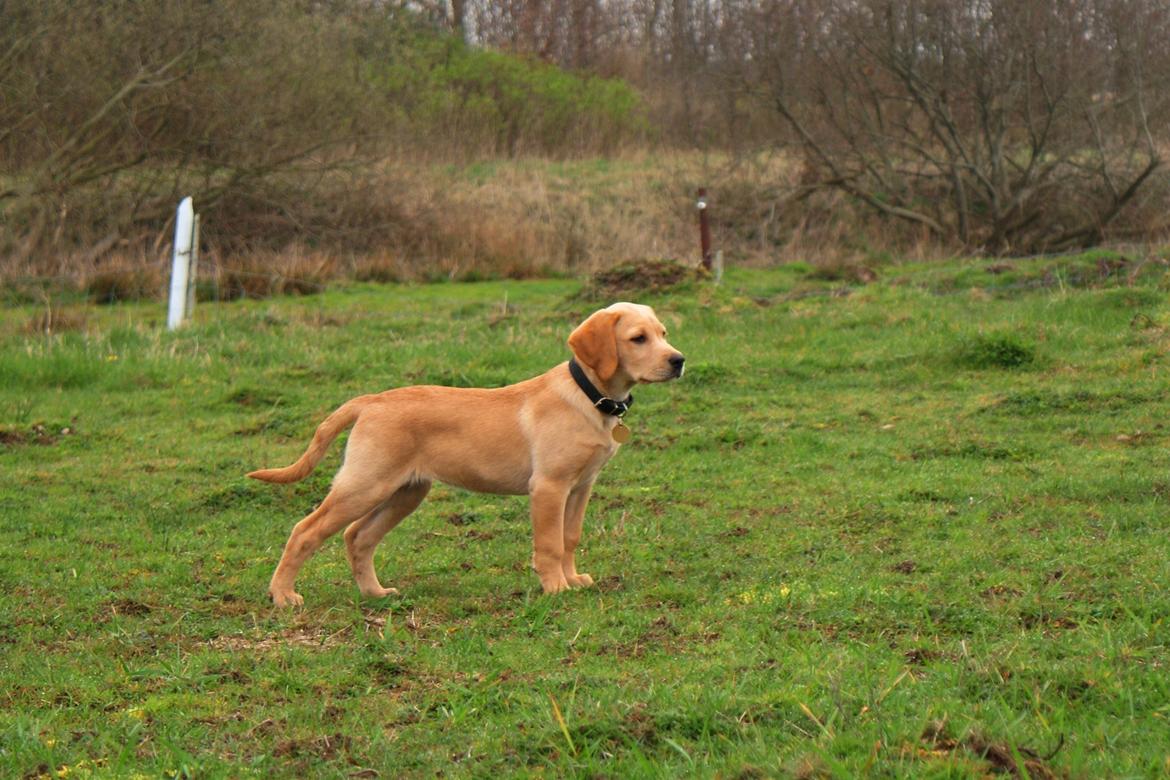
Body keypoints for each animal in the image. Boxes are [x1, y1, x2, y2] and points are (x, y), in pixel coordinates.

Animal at [249, 301, 683, 608]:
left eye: (663, 334)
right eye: (638, 338)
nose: (678, 361)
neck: (589, 396)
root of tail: (370, 400)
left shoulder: (581, 487)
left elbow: (570, 538)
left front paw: (573, 580)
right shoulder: (549, 487)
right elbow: (549, 543)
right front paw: (555, 588)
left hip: (406, 491)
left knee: (358, 536)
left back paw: (374, 593)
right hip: (365, 484)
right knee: (306, 530)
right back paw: (282, 595)